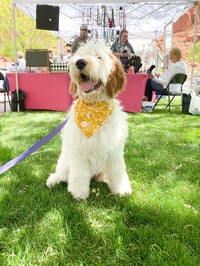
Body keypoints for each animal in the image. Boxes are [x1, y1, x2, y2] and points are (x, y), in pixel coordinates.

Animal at [46, 41, 132, 200]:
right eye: (79, 55)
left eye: (99, 57)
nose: (79, 62)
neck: (94, 109)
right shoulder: (79, 150)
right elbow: (79, 174)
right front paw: (79, 193)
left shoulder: (115, 150)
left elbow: (117, 171)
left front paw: (121, 189)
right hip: (65, 159)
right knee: (61, 172)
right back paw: (54, 180)